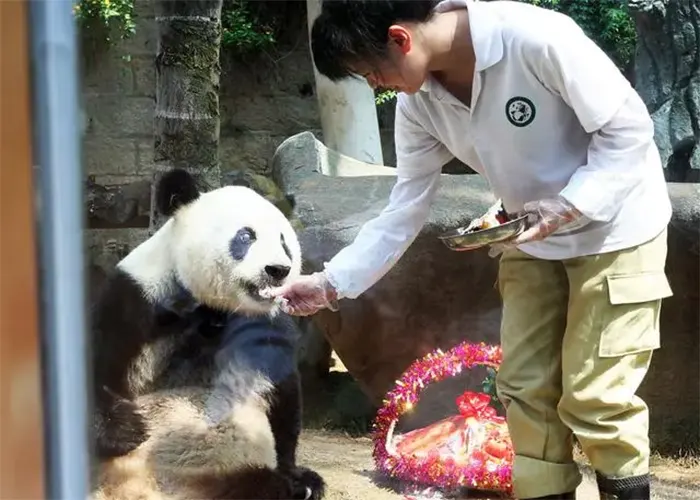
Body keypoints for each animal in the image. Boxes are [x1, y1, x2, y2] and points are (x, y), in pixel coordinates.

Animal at [89, 168, 326, 500]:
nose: (279, 269)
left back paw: (299, 485)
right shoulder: (137, 300)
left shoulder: (265, 327)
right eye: (246, 236)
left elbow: (283, 396)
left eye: (284, 242)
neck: (218, 307)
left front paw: (297, 473)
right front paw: (126, 429)